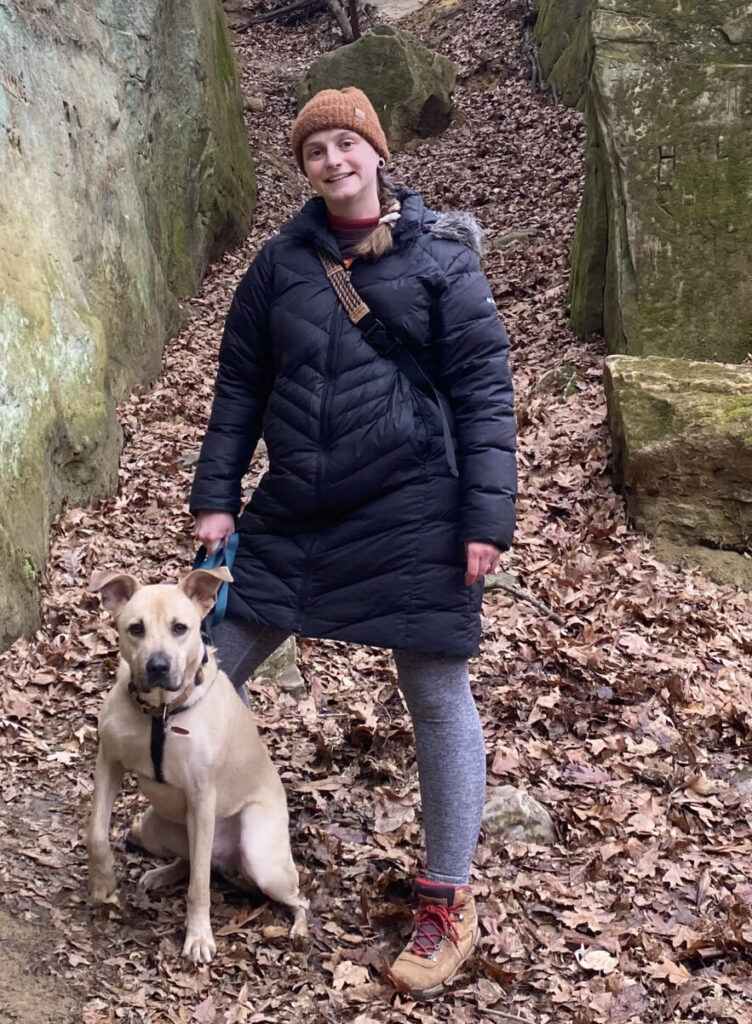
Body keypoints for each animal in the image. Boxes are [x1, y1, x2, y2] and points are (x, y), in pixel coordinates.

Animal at [87, 569, 309, 958]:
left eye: (180, 628)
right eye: (135, 628)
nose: (158, 666)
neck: (161, 713)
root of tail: (230, 861)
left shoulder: (203, 797)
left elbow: (200, 886)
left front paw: (199, 936)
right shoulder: (108, 763)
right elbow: (97, 833)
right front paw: (103, 883)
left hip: (262, 858)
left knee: (298, 898)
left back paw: (298, 928)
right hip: (154, 828)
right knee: (189, 860)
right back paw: (162, 874)